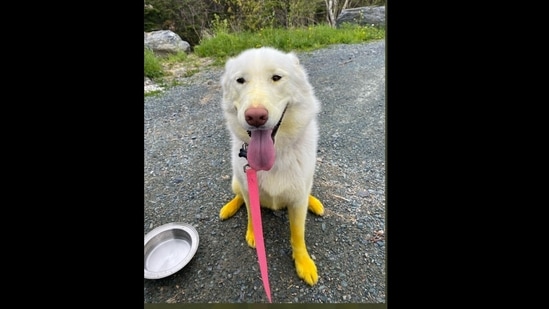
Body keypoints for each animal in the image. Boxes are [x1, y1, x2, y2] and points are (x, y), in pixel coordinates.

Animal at [216, 47, 324, 286]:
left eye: (276, 78)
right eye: (240, 80)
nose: (255, 116)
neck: (275, 157)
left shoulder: (297, 202)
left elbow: (298, 234)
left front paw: (303, 262)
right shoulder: (249, 190)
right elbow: (251, 214)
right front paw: (253, 233)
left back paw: (314, 203)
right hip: (236, 181)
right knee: (238, 196)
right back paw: (229, 208)